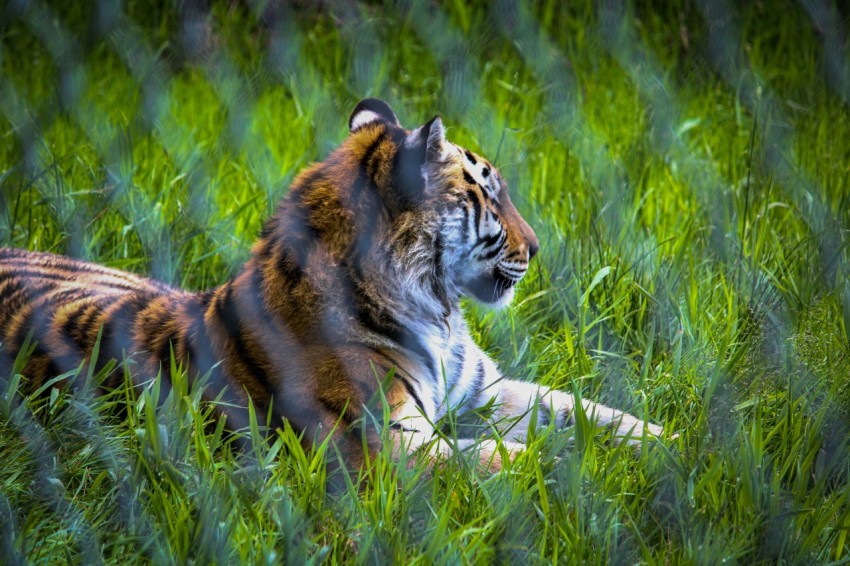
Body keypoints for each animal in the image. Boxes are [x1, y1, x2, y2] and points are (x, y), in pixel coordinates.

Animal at [0, 98, 664, 471]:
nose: (539, 248)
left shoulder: (484, 394)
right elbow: (513, 457)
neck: (438, 313)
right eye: (492, 197)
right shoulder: (385, 443)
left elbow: (592, 413)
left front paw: (675, 445)